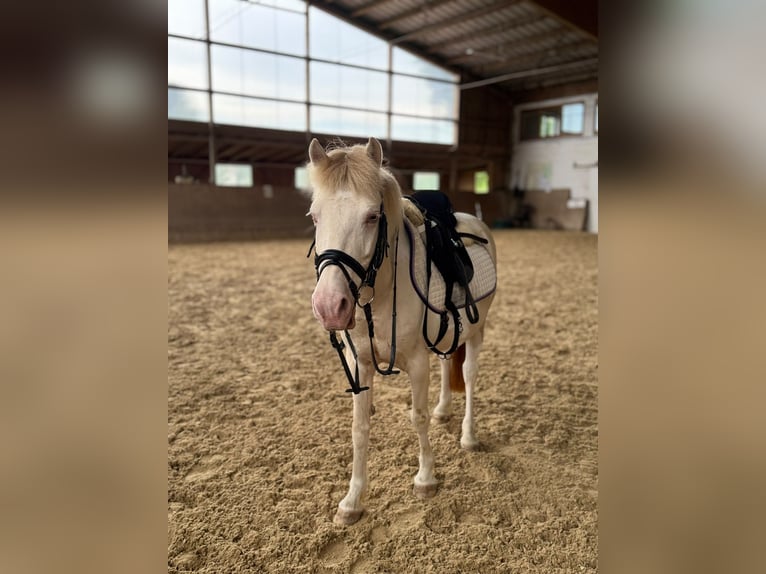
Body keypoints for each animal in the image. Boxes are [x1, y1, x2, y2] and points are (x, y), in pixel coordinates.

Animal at [307, 137, 497, 525]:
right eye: (315, 216)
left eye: (372, 216)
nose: (330, 306)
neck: (381, 293)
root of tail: (474, 220)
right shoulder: (361, 365)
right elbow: (359, 428)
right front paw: (353, 500)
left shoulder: (417, 363)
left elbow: (417, 418)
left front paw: (426, 478)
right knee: (447, 365)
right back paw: (444, 411)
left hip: (477, 331)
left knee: (470, 376)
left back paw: (469, 436)